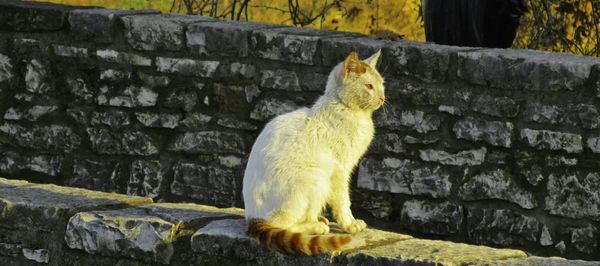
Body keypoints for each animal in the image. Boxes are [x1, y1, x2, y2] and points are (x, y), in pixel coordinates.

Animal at [243, 50, 384, 256]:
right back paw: (315, 226)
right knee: (281, 224)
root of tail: (251, 218)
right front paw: (349, 224)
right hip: (315, 178)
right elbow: (344, 201)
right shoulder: (340, 171)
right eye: (369, 86)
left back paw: (318, 220)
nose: (382, 98)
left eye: (382, 85)